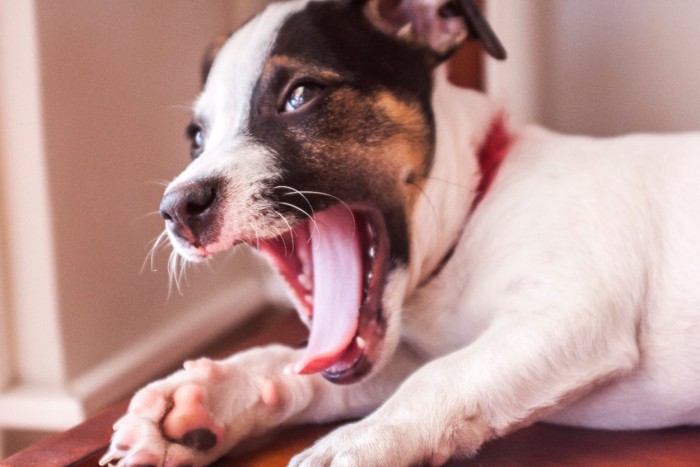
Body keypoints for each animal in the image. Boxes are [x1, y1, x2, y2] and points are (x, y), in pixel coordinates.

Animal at [101, 0, 700, 467]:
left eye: (300, 95)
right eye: (196, 138)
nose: (177, 208)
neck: (473, 210)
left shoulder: (571, 311)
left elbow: (442, 376)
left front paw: (360, 442)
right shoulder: (405, 353)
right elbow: (313, 366)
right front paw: (211, 399)